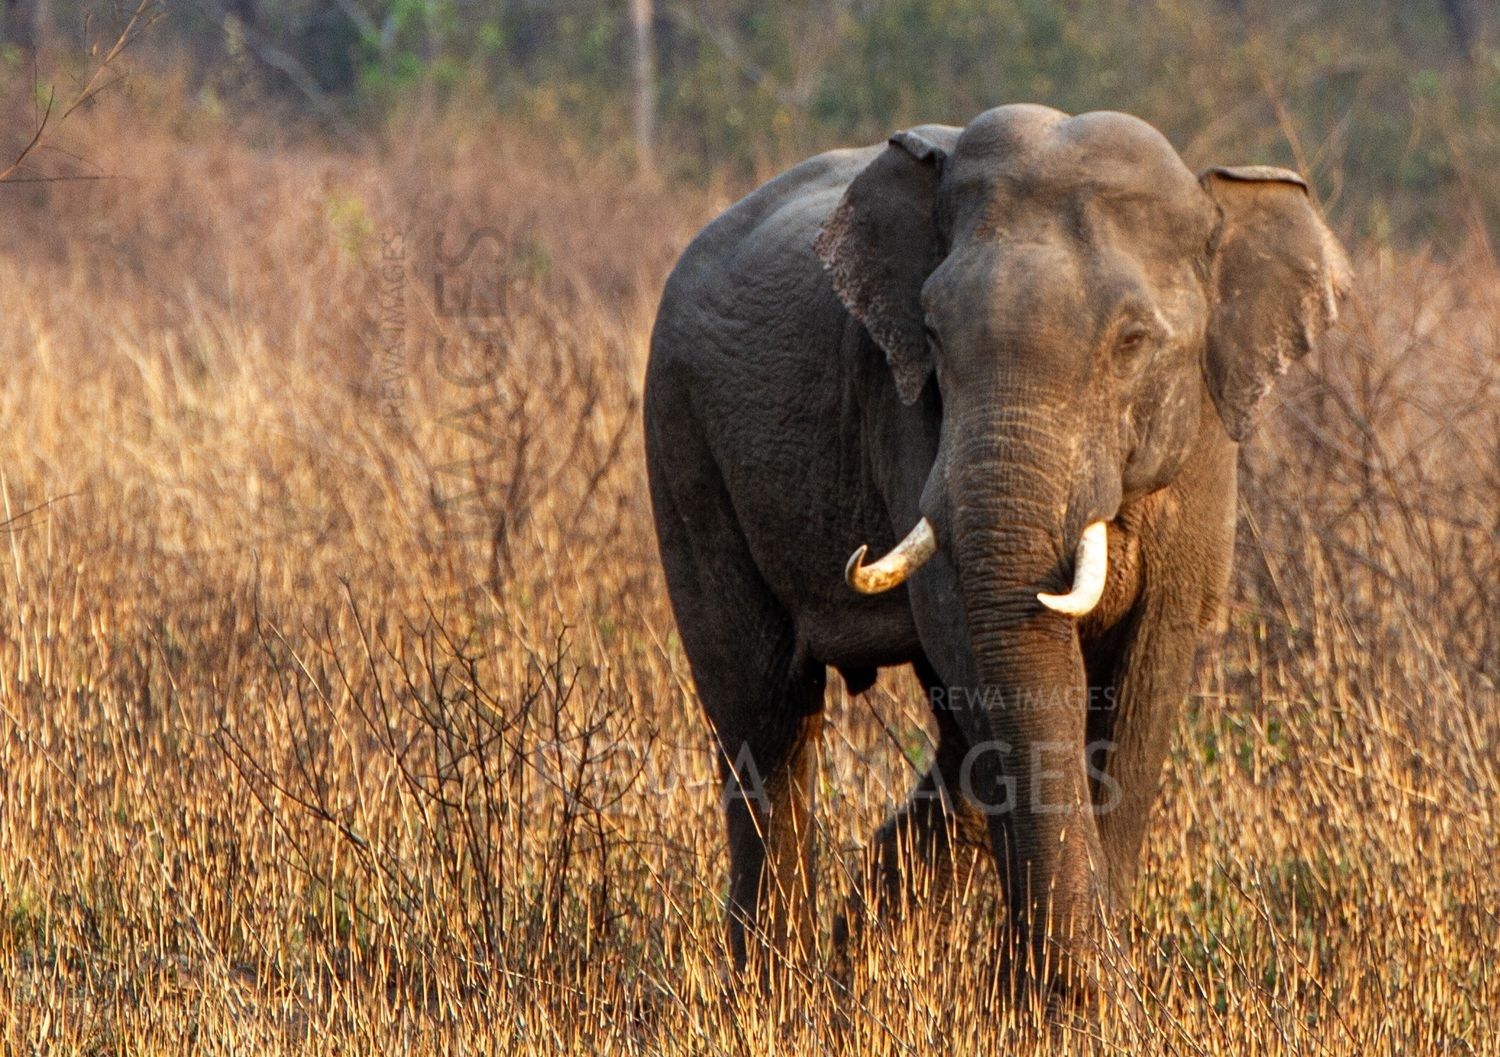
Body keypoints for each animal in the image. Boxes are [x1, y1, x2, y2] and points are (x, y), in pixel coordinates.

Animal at [642, 105, 1349, 1015]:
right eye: (933, 334)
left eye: (1133, 341)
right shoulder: (906, 413)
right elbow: (975, 640)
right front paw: (1062, 1004)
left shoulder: (1204, 446)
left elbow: (1149, 673)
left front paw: (1085, 1005)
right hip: (682, 438)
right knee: (764, 708)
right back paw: (774, 992)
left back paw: (850, 956)